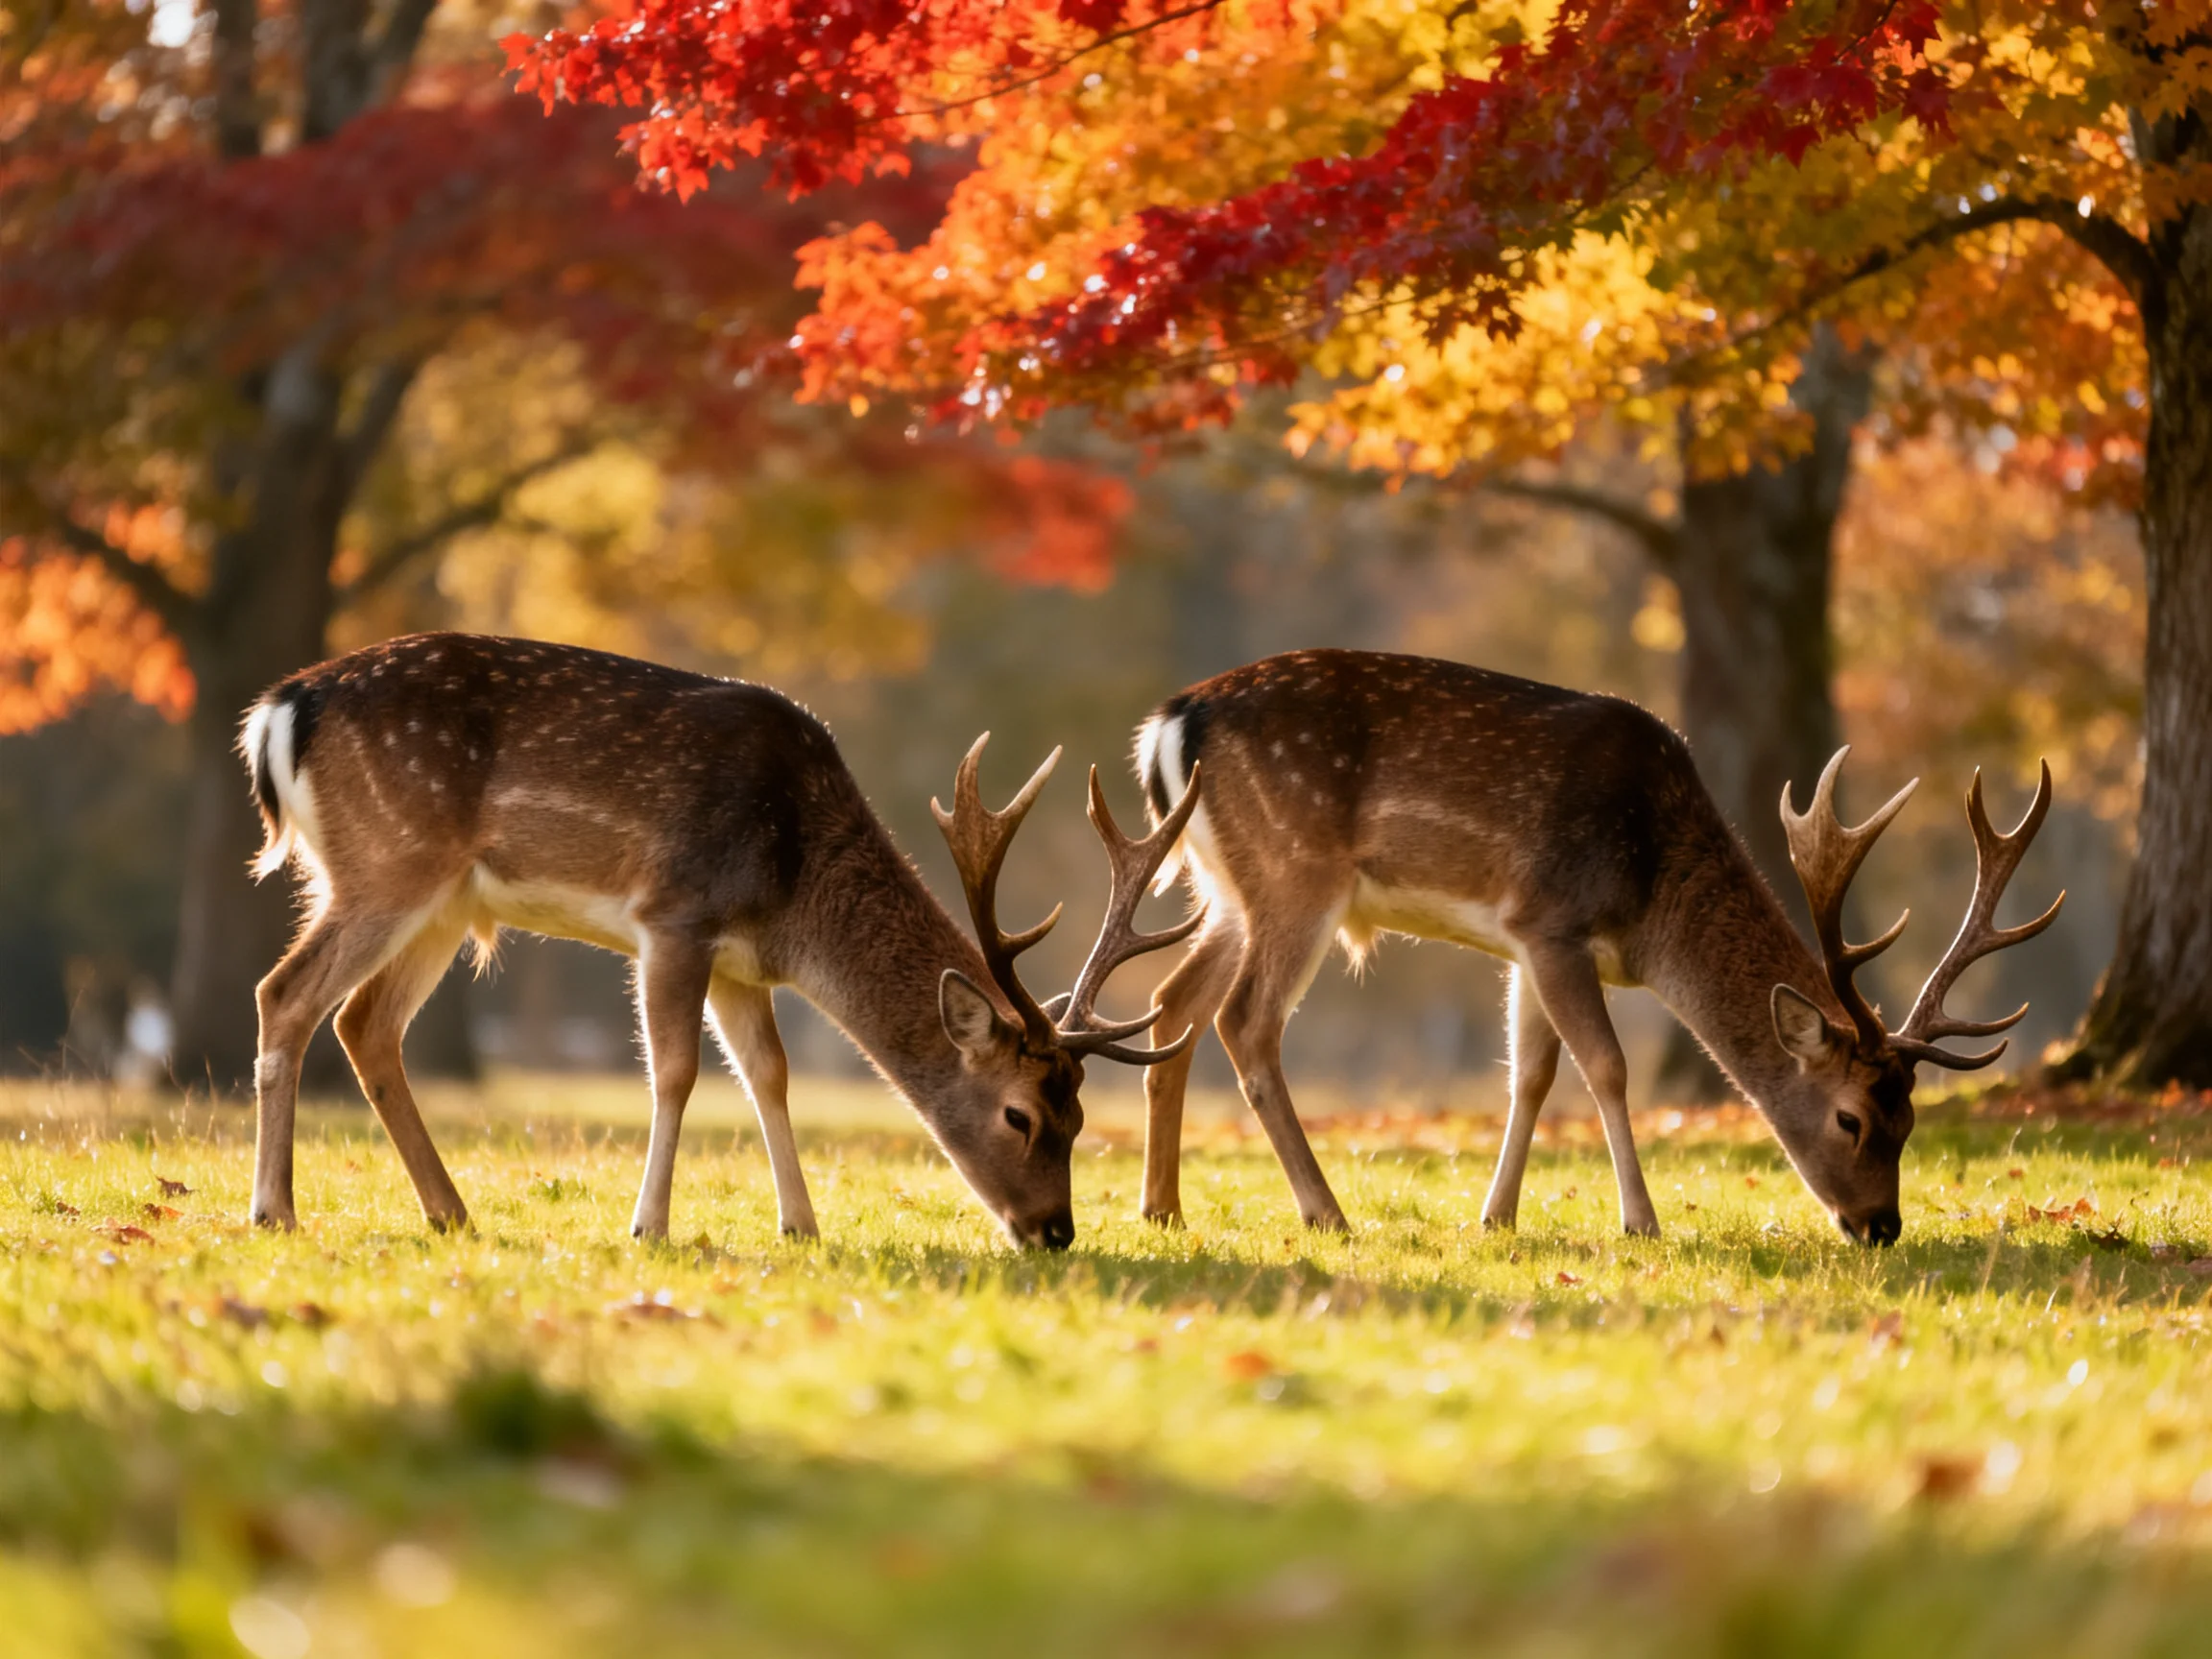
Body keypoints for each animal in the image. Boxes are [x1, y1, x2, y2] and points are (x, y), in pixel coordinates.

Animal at [237, 632, 1199, 1247]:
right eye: (1021, 1114)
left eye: (1082, 1118)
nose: (1055, 1232)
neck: (795, 887)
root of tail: (279, 710)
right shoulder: (676, 915)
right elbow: (676, 1071)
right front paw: (649, 1225)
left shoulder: (744, 965)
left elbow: (769, 1075)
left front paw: (802, 1225)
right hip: (388, 862)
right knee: (284, 993)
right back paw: (274, 1209)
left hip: (437, 899)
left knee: (364, 1023)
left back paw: (451, 1211)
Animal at [1129, 649, 2063, 1244]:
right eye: (1853, 1117)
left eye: (1912, 1121)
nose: (1881, 1227)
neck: (1651, 904)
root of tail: (1168, 725)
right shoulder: (1552, 921)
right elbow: (1606, 1068)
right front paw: (1641, 1221)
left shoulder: (1524, 945)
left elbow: (1531, 1075)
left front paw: (1496, 1216)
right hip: (1298, 869)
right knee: (1245, 1020)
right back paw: (1324, 1211)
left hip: (1228, 888)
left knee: (1172, 1001)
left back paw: (1162, 1207)